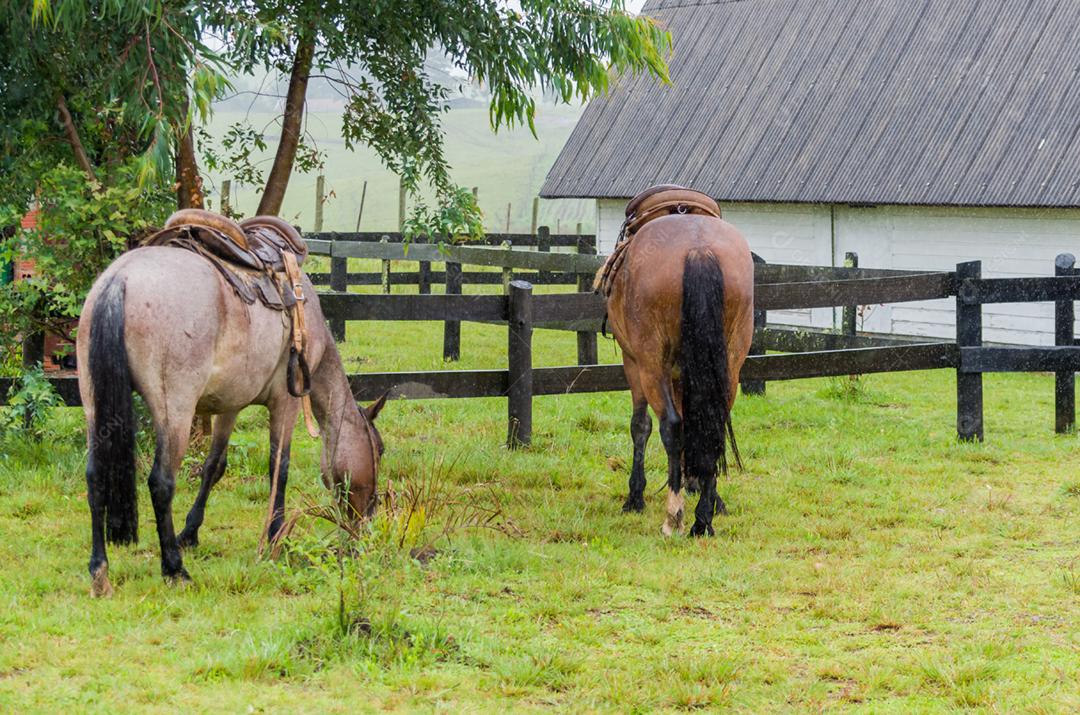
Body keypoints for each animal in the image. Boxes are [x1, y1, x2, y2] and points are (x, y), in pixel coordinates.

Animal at [76, 216, 385, 597]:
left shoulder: (229, 406)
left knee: (95, 477)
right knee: (161, 482)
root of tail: (121, 280)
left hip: (94, 406)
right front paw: (275, 535)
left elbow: (214, 466)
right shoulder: (286, 402)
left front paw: (190, 533)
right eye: (379, 450)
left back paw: (99, 571)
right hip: (175, 413)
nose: (369, 517)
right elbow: (279, 467)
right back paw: (174, 568)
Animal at [597, 185, 754, 537]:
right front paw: (703, 490)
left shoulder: (633, 363)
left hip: (651, 365)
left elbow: (640, 426)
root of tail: (698, 249)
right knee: (712, 423)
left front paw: (635, 496)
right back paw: (703, 519)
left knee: (671, 425)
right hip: (731, 364)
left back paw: (674, 517)